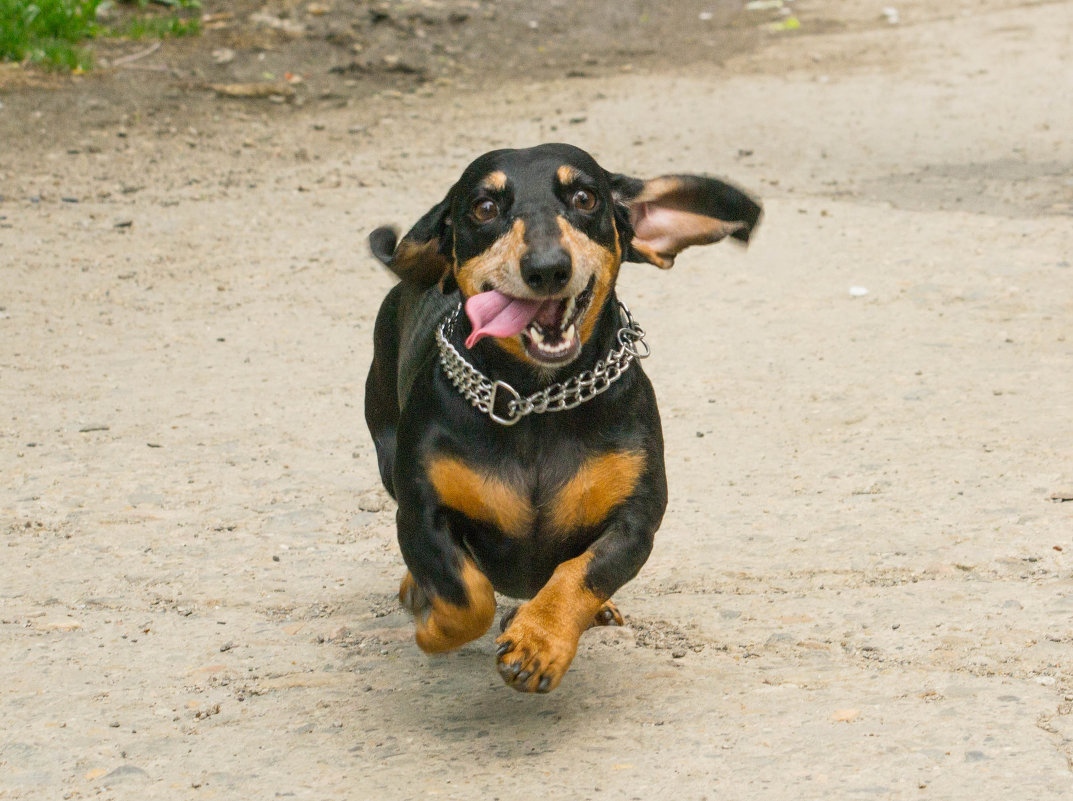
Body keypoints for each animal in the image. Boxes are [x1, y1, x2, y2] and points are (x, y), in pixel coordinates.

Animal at [369, 140, 763, 690]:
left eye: (584, 198)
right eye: (483, 207)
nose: (547, 268)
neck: (537, 401)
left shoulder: (636, 522)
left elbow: (582, 572)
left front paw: (539, 640)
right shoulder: (421, 511)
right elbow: (466, 593)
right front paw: (435, 626)